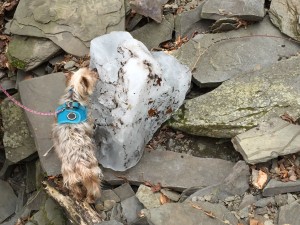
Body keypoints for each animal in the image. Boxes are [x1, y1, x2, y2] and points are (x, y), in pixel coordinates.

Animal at [51, 67, 102, 203]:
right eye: (91, 73)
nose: (95, 69)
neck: (73, 96)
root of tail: (80, 165)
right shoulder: (89, 122)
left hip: (70, 175)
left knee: (76, 188)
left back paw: (78, 197)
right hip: (92, 171)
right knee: (93, 188)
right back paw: (90, 199)